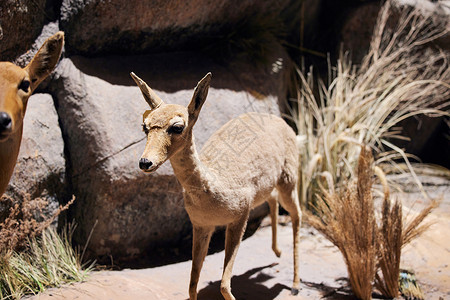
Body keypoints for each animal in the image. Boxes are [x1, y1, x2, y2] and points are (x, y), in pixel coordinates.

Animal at [133, 71, 302, 298]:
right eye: (145, 126)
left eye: (177, 126)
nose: (145, 162)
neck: (213, 189)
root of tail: (281, 121)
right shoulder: (202, 225)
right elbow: (192, 284)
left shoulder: (239, 218)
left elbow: (223, 284)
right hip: (270, 187)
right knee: (274, 200)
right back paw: (277, 252)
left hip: (289, 181)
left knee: (297, 214)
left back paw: (295, 285)